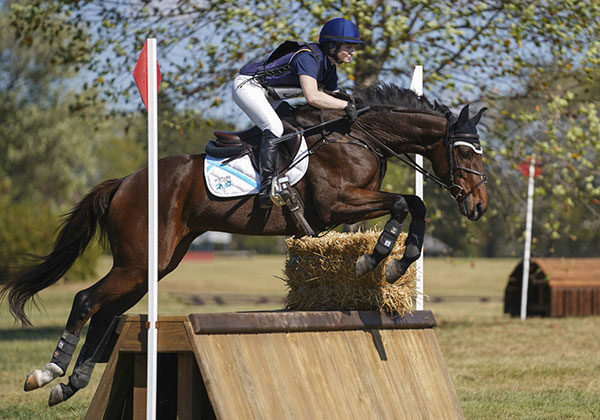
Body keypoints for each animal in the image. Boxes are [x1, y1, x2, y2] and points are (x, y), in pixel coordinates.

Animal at [0, 83, 488, 406]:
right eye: (465, 153)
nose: (479, 205)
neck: (358, 136)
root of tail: (124, 182)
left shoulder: (352, 205)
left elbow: (413, 206)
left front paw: (396, 262)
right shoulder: (336, 205)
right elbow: (406, 204)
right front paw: (378, 259)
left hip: (152, 265)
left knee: (106, 313)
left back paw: (70, 384)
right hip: (139, 262)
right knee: (86, 300)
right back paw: (46, 373)